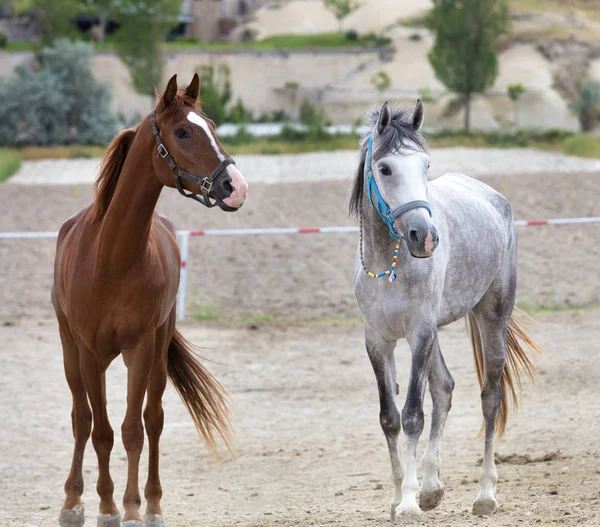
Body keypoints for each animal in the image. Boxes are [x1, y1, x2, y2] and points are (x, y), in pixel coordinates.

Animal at [51, 75, 247, 527]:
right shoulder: (89, 353)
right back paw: (72, 501)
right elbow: (100, 430)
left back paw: (153, 502)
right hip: (71, 351)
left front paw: (131, 507)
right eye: (183, 131)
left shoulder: (140, 349)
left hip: (157, 348)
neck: (112, 258)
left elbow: (133, 430)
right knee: (81, 419)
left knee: (152, 420)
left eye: (212, 125)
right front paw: (105, 506)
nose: (235, 187)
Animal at [350, 101, 540, 520]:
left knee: (490, 397)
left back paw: (485, 494)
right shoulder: (378, 340)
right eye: (385, 168)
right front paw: (399, 497)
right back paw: (431, 488)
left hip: (492, 316)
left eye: (425, 165)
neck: (389, 264)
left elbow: (412, 416)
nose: (425, 237)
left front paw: (407, 503)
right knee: (445, 388)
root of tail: (493, 198)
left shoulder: (419, 333)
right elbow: (390, 418)